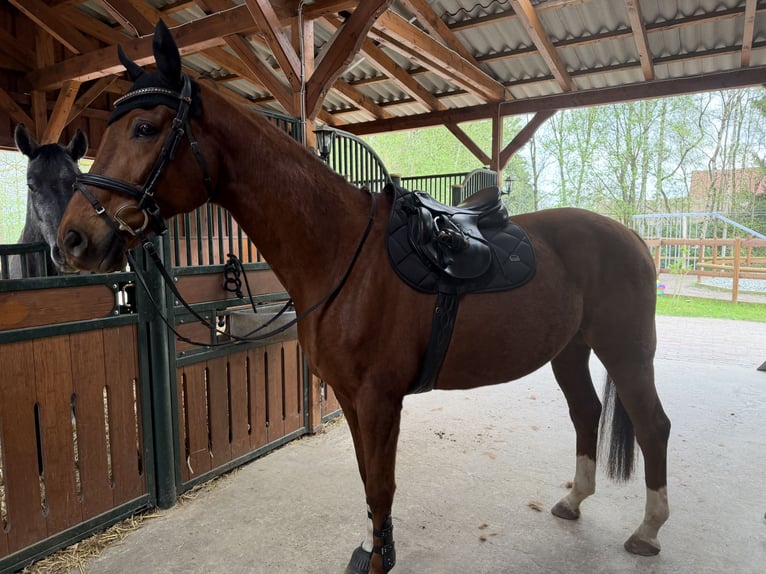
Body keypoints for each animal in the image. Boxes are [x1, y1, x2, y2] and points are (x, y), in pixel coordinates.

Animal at [57, 21, 670, 574]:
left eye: (144, 127)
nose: (74, 239)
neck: (340, 251)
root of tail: (632, 237)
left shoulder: (380, 399)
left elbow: (381, 484)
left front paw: (379, 560)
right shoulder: (352, 399)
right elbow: (367, 481)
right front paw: (374, 549)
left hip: (626, 350)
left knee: (652, 426)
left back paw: (648, 531)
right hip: (571, 349)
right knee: (586, 412)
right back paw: (573, 501)